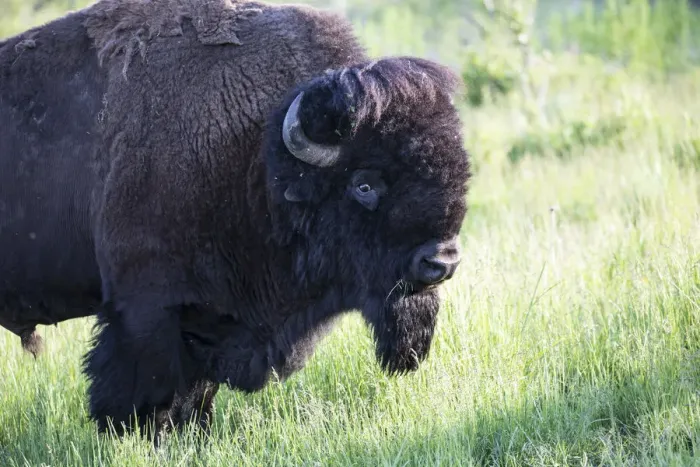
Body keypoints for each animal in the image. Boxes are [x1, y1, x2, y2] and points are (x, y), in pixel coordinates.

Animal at [0, 0, 471, 437]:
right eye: (365, 185)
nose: (441, 262)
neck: (256, 155)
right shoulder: (147, 311)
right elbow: (148, 395)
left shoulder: (210, 322)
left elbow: (196, 397)